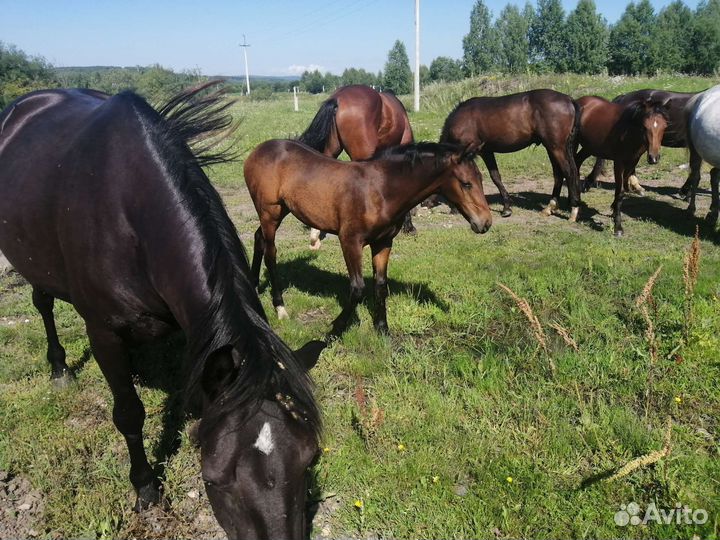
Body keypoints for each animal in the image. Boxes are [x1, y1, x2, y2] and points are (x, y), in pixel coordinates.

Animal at [0, 82, 321, 540]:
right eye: (214, 478)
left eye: (309, 458)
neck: (130, 213)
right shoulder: (103, 331)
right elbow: (129, 413)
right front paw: (146, 488)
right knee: (43, 303)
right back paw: (60, 368)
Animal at [244, 140, 492, 337]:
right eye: (466, 183)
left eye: (480, 179)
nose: (485, 223)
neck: (380, 191)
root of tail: (259, 150)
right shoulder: (350, 241)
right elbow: (357, 288)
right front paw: (335, 329)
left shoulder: (383, 243)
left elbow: (380, 285)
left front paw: (382, 329)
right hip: (270, 213)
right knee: (271, 254)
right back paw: (280, 307)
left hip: (280, 211)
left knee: (258, 238)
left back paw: (253, 284)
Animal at [440, 89, 582, 221]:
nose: (453, 209)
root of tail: (569, 99)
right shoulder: (487, 152)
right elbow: (496, 177)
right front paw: (507, 207)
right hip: (553, 147)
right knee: (560, 174)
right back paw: (550, 207)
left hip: (556, 147)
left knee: (568, 172)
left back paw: (574, 209)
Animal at [575, 95, 669, 237]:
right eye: (645, 126)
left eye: (664, 126)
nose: (653, 158)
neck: (629, 131)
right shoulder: (619, 163)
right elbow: (620, 192)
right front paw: (618, 227)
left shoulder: (632, 162)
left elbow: (624, 188)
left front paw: (614, 212)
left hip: (589, 147)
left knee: (577, 162)